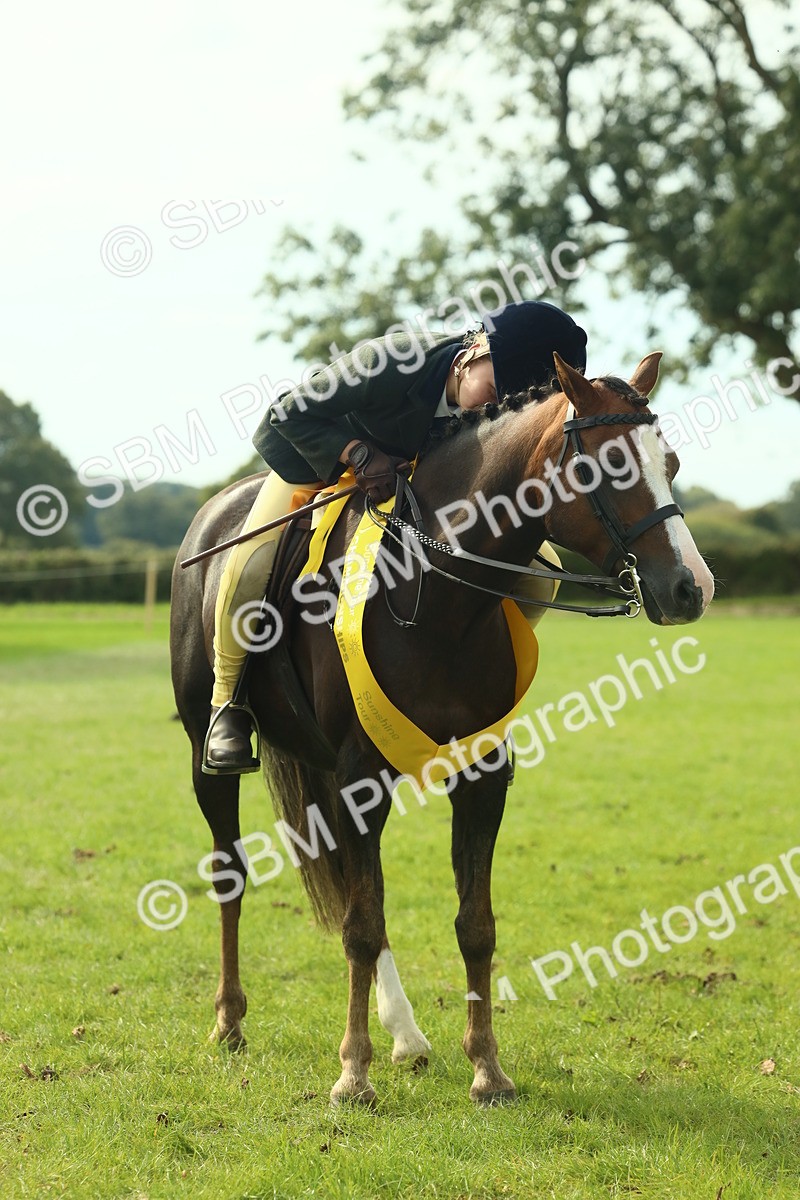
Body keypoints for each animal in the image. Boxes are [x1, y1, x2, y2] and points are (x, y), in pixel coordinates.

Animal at [170, 351, 714, 1107]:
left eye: (672, 461)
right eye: (607, 466)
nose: (693, 587)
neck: (441, 592)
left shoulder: (480, 775)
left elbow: (472, 924)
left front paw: (486, 1067)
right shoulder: (361, 777)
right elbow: (362, 926)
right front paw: (353, 1075)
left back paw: (406, 1036)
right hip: (210, 755)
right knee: (233, 872)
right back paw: (229, 1021)